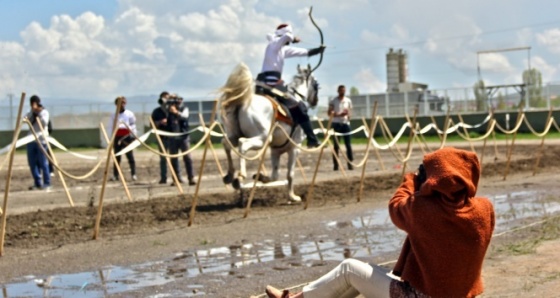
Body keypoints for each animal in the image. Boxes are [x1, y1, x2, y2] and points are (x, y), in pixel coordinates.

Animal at [220, 61, 320, 204]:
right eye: (316, 85)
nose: (315, 101)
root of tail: (243, 102)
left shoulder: (275, 150)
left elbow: (275, 175)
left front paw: (261, 177)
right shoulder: (294, 148)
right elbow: (290, 174)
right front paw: (293, 197)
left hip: (235, 135)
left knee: (226, 143)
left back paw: (229, 175)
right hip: (262, 139)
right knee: (242, 144)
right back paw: (239, 176)